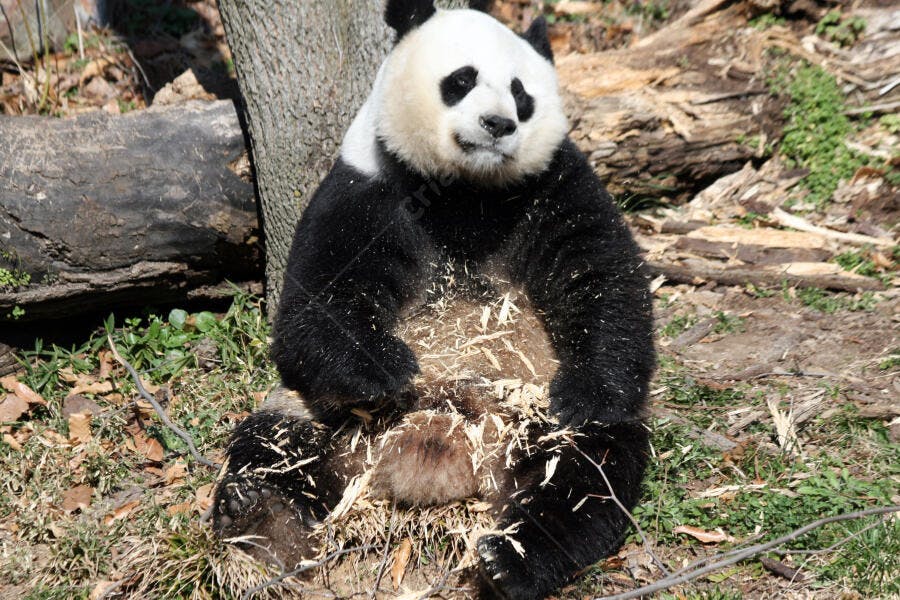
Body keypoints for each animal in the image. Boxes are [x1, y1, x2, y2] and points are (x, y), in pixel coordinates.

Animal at [212, 1, 655, 598]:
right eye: (462, 80)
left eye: (521, 95)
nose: (498, 125)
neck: (467, 191)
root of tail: (440, 463)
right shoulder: (367, 185)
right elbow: (317, 303)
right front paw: (383, 367)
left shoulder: (555, 184)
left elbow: (603, 275)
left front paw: (589, 390)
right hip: (329, 423)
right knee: (276, 442)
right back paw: (259, 518)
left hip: (531, 419)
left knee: (588, 472)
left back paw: (512, 558)